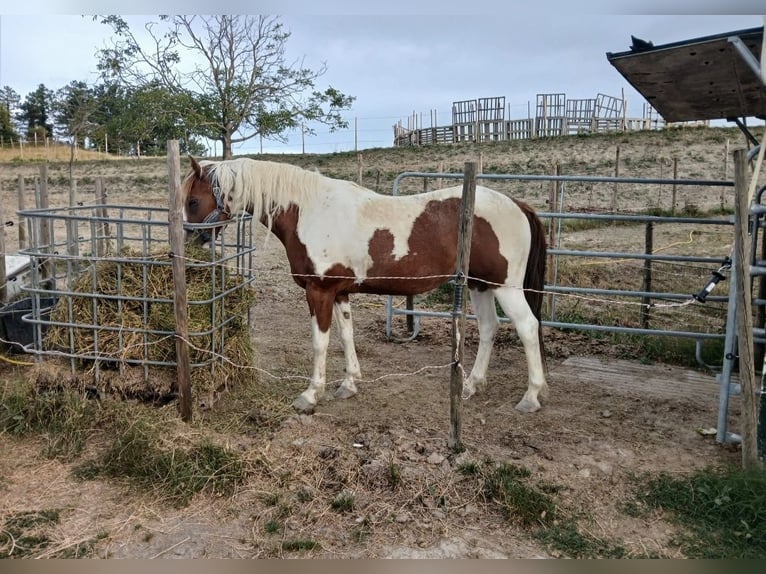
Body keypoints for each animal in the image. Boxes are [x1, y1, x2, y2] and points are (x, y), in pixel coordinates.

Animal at [182, 156, 548, 415]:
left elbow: (320, 343)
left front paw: (310, 394)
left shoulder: (319, 291)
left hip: (505, 288)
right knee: (489, 328)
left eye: (192, 201)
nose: (189, 241)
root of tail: (518, 205)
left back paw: (531, 396)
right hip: (479, 285)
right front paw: (349, 384)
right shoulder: (339, 292)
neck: (310, 211)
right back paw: (472, 385)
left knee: (528, 328)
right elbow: (347, 336)